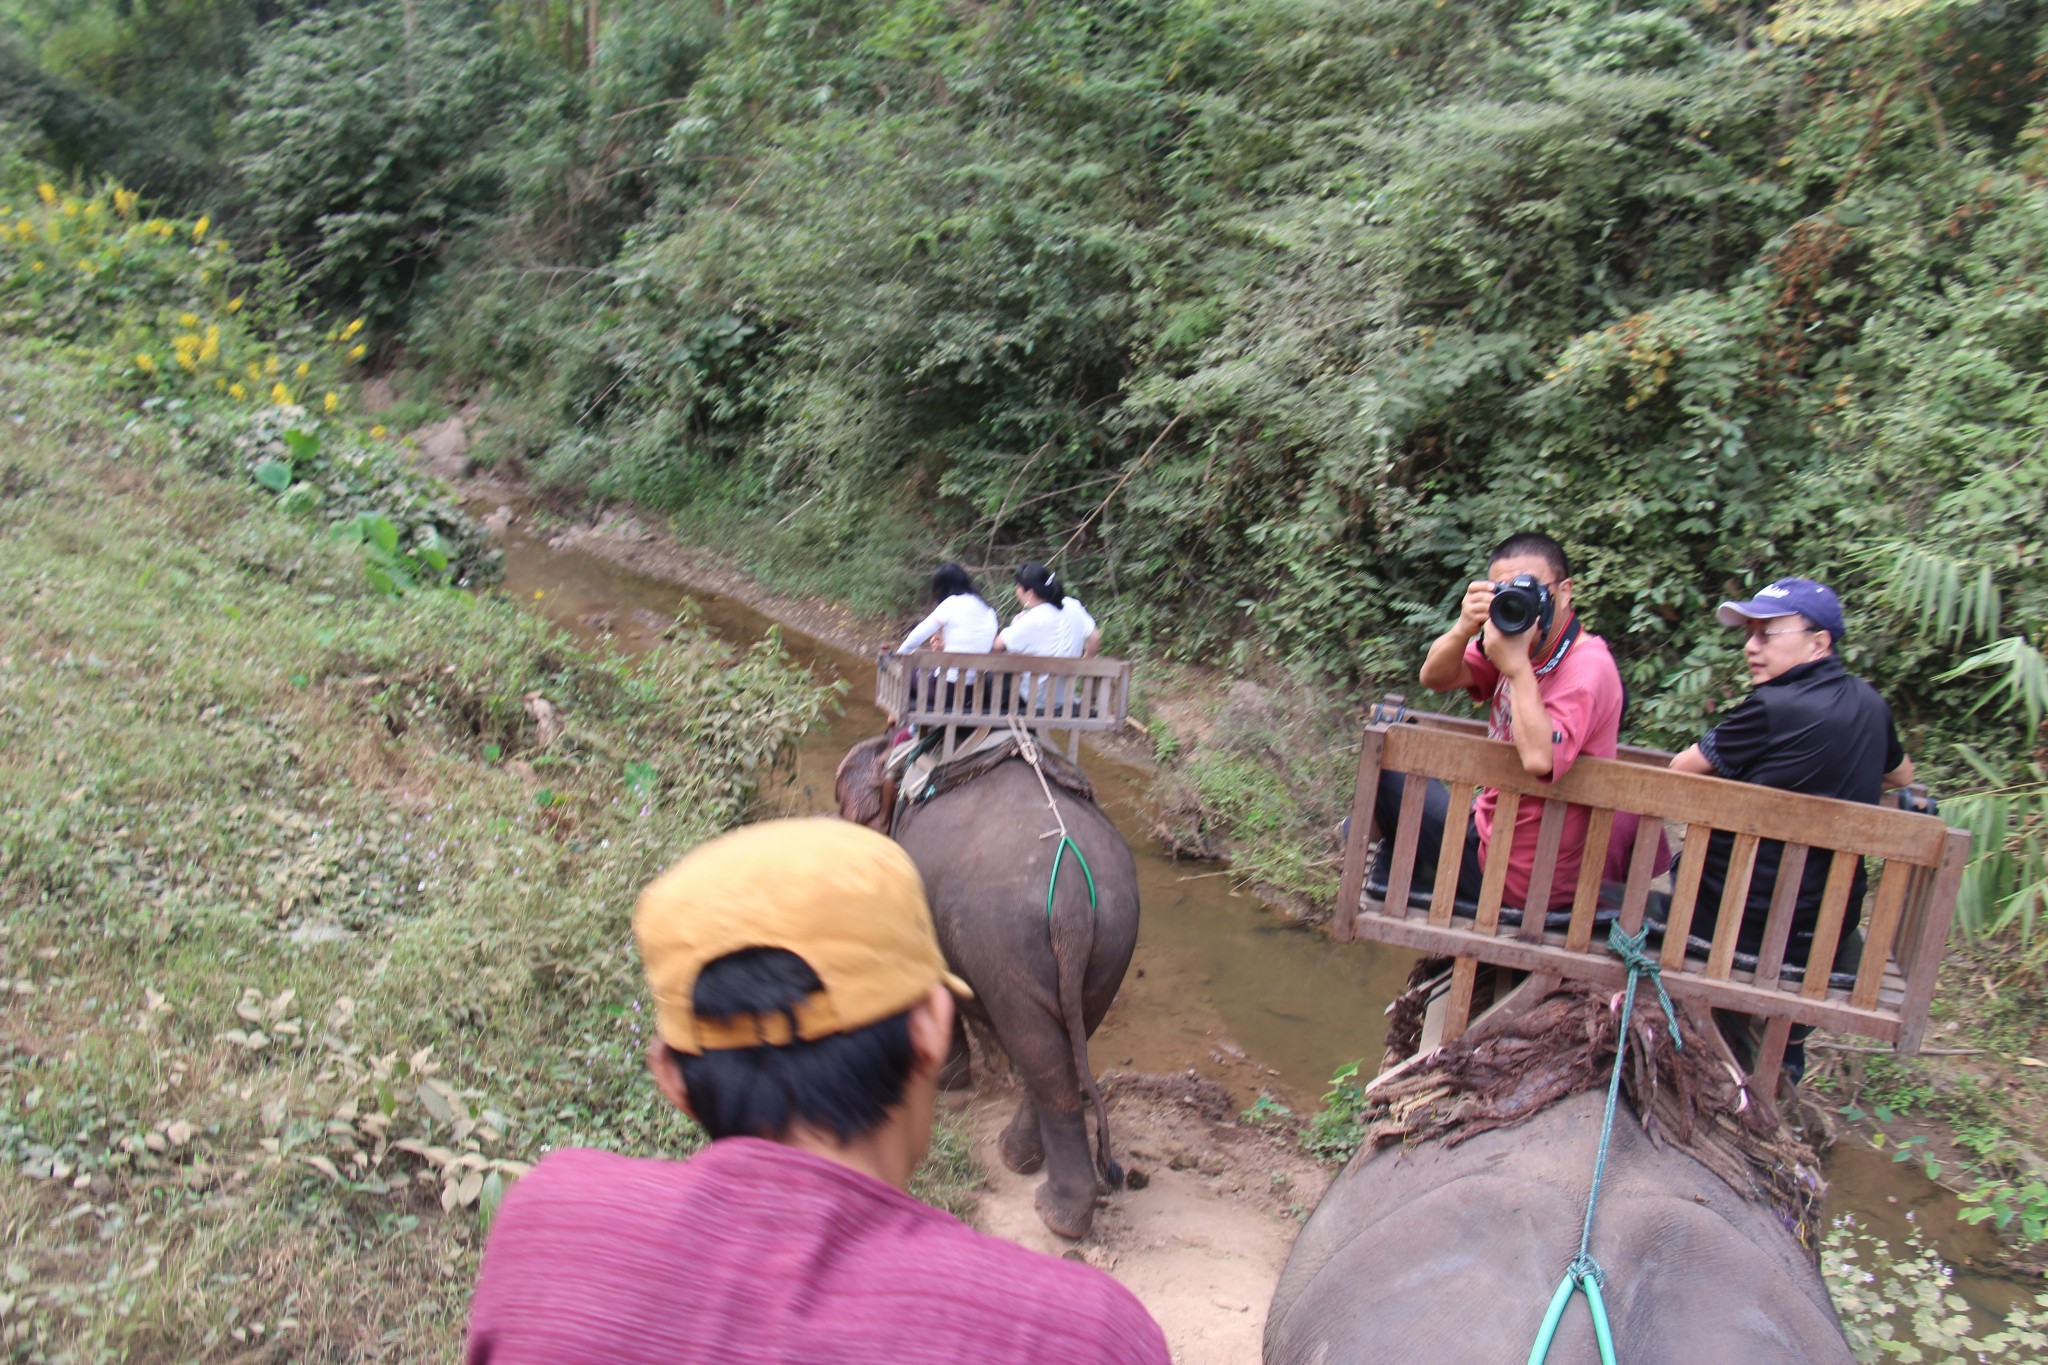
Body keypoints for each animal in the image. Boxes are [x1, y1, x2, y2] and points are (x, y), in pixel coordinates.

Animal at [835, 732, 1155, 1244]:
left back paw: (1053, 1211)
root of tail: (1071, 900)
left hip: (1006, 940)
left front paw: (946, 1082)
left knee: (1039, 1047)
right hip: (1110, 945)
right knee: (1060, 1049)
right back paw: (1023, 1161)